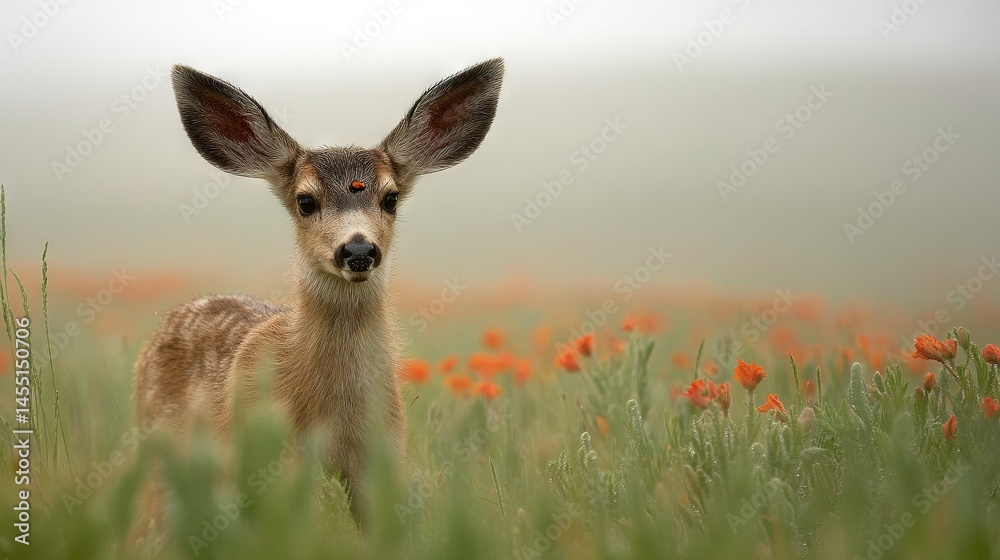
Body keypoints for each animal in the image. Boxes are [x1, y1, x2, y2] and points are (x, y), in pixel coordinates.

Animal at [131, 58, 504, 539]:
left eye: (391, 198)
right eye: (305, 201)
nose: (359, 249)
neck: (331, 413)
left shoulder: (380, 458)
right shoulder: (272, 461)